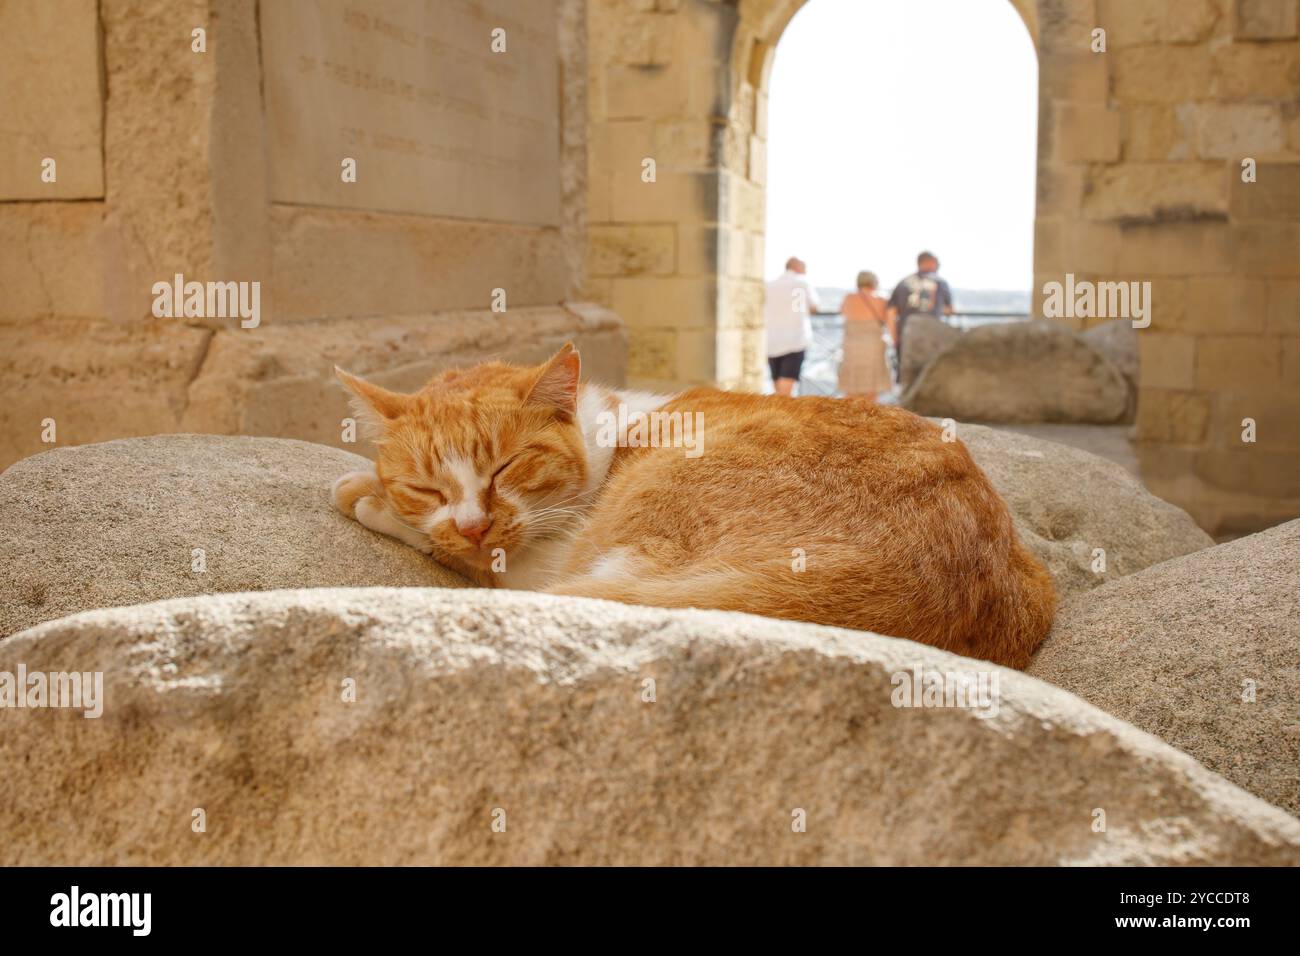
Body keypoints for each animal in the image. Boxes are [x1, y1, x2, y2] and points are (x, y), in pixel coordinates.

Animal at [332, 343, 1055, 665]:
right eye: (428, 486)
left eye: (507, 467)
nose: (474, 524)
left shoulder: (549, 559)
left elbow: (480, 566)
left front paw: (368, 499)